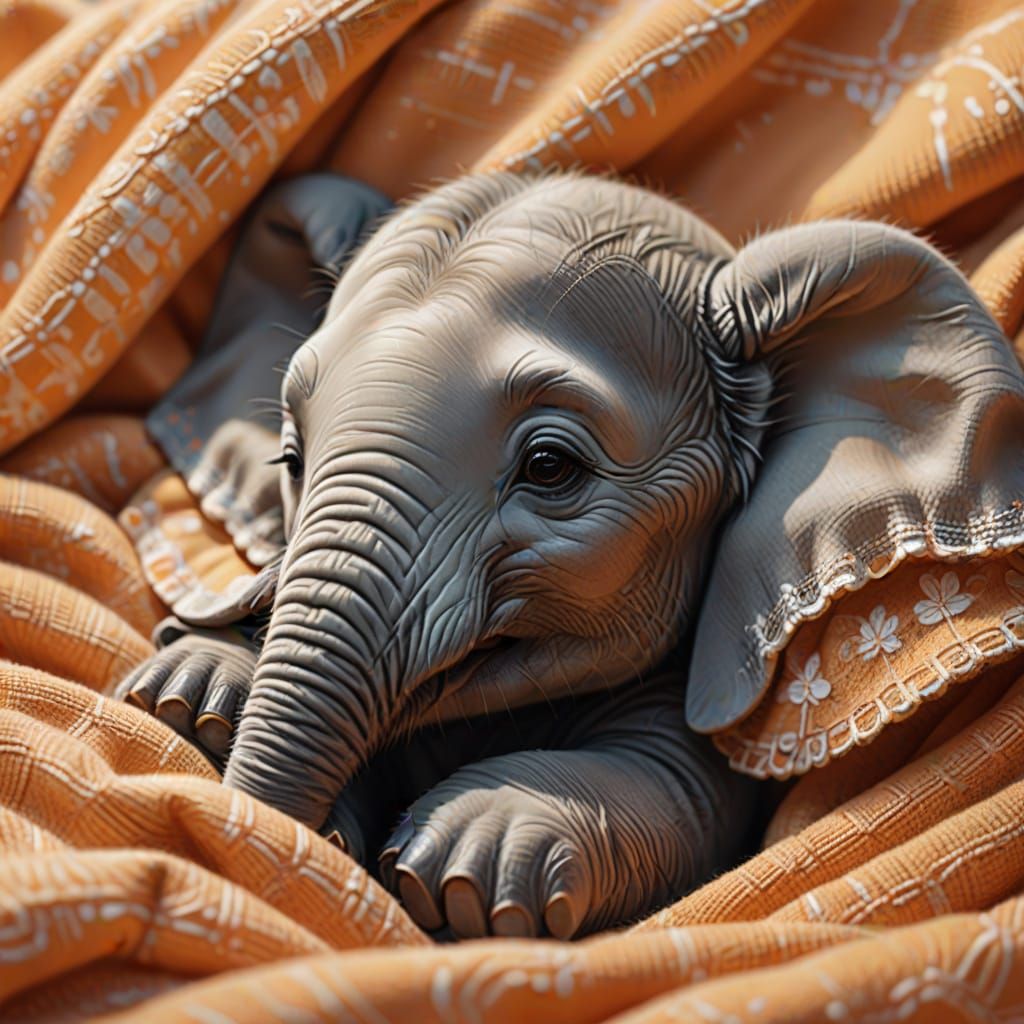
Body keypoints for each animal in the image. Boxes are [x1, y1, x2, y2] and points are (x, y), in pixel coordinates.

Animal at [117, 171, 1024, 940]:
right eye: (292, 459)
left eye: (551, 467)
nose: (273, 830)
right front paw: (194, 701)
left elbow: (683, 794)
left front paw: (466, 867)